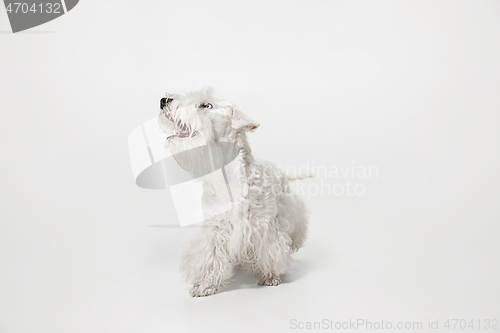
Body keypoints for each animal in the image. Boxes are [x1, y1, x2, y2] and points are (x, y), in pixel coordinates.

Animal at [158, 88, 310, 296]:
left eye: (206, 105)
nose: (164, 100)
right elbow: (211, 256)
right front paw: (204, 284)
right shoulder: (215, 228)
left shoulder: (263, 225)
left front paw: (269, 275)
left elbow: (269, 250)